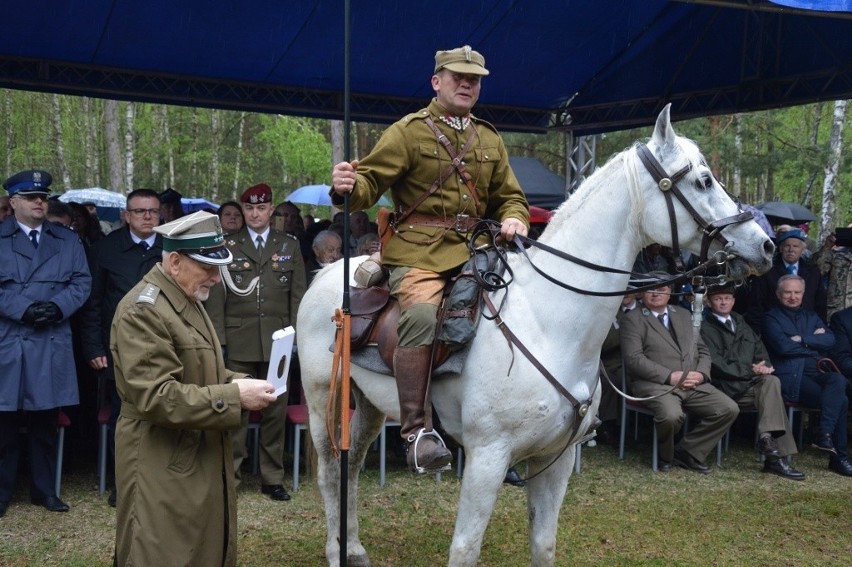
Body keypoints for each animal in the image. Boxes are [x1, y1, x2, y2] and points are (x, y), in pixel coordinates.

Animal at [296, 107, 776, 567]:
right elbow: (465, 549)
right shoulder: (487, 458)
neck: (551, 322)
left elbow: (543, 545)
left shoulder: (555, 460)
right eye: (704, 180)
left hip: (370, 404)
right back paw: (336, 551)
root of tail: (326, 275)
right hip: (323, 401)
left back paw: (354, 547)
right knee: (329, 471)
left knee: (352, 465)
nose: (766, 245)